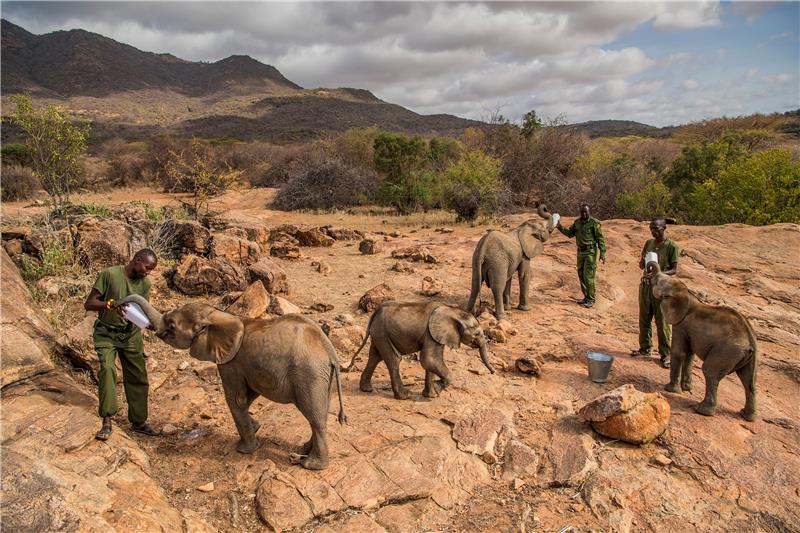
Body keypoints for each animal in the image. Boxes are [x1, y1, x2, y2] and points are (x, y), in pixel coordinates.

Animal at [342, 302, 494, 396]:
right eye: (477, 333)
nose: (493, 372)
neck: (452, 310)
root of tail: (375, 313)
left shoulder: (436, 335)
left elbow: (431, 362)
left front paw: (431, 395)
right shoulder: (431, 334)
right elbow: (428, 360)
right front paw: (437, 389)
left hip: (379, 333)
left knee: (375, 357)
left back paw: (367, 389)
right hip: (382, 332)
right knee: (393, 359)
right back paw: (404, 396)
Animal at [648, 262, 756, 420]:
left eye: (657, 282)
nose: (648, 272)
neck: (687, 293)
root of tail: (750, 340)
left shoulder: (681, 324)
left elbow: (679, 352)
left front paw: (670, 389)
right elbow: (689, 355)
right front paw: (686, 388)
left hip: (727, 351)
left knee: (710, 371)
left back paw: (701, 410)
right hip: (748, 357)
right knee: (749, 381)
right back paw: (746, 416)